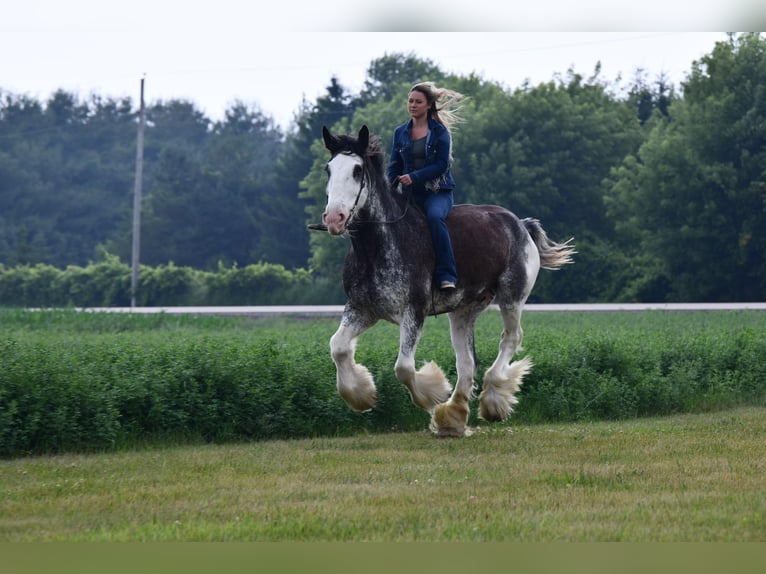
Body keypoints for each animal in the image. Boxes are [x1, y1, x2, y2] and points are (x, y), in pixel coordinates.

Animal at [318, 126, 576, 438]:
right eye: (328, 169)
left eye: (357, 170)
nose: (334, 218)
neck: (377, 246)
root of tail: (521, 225)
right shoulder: (362, 310)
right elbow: (338, 347)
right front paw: (363, 395)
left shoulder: (413, 311)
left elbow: (404, 368)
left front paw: (434, 393)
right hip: (463, 311)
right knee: (467, 362)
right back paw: (453, 416)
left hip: (512, 298)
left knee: (511, 338)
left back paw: (492, 401)